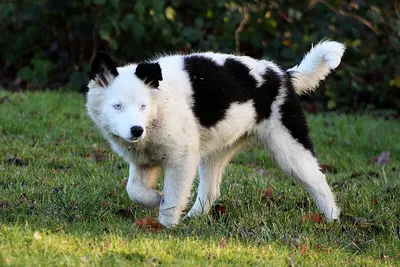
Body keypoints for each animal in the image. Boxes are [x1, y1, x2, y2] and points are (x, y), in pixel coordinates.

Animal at [86, 40, 346, 227]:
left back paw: (332, 218)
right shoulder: (144, 162)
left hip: (287, 144)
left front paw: (165, 227)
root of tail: (284, 76)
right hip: (217, 149)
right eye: (117, 107)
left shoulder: (182, 158)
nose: (136, 130)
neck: (157, 110)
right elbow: (134, 191)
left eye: (143, 106)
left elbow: (173, 195)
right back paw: (194, 218)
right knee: (211, 190)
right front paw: (155, 199)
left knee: (317, 178)